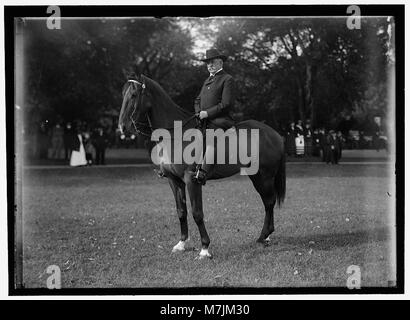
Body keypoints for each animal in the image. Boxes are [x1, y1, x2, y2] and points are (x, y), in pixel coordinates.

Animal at [118, 74, 286, 258]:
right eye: (123, 95)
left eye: (134, 95)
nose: (122, 127)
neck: (176, 135)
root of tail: (274, 134)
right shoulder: (173, 180)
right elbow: (181, 211)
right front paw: (181, 244)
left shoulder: (192, 180)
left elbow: (197, 213)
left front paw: (205, 248)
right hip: (256, 176)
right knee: (267, 202)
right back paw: (266, 237)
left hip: (264, 176)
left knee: (269, 202)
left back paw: (263, 236)